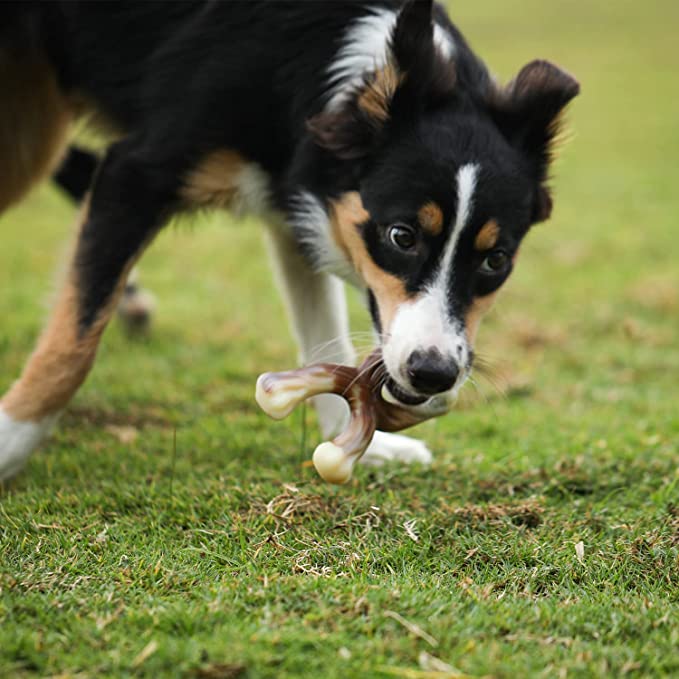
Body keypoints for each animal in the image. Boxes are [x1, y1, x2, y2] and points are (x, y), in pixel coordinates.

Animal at [0, 0, 580, 480]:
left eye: (495, 261)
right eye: (402, 236)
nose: (434, 374)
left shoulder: (295, 200)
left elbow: (323, 332)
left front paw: (358, 441)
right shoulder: (138, 172)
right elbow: (73, 345)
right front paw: (12, 443)